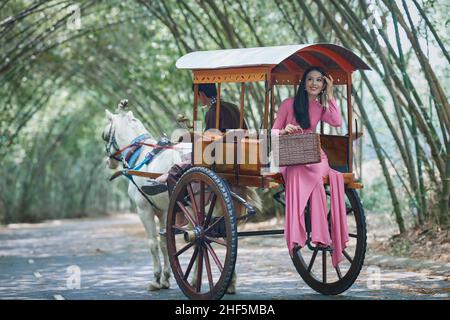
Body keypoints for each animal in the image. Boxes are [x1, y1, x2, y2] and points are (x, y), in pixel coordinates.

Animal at [101, 104, 181, 292]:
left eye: (105, 135)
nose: (108, 162)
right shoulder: (163, 211)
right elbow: (165, 242)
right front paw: (166, 278)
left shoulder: (144, 209)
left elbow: (153, 243)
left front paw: (157, 279)